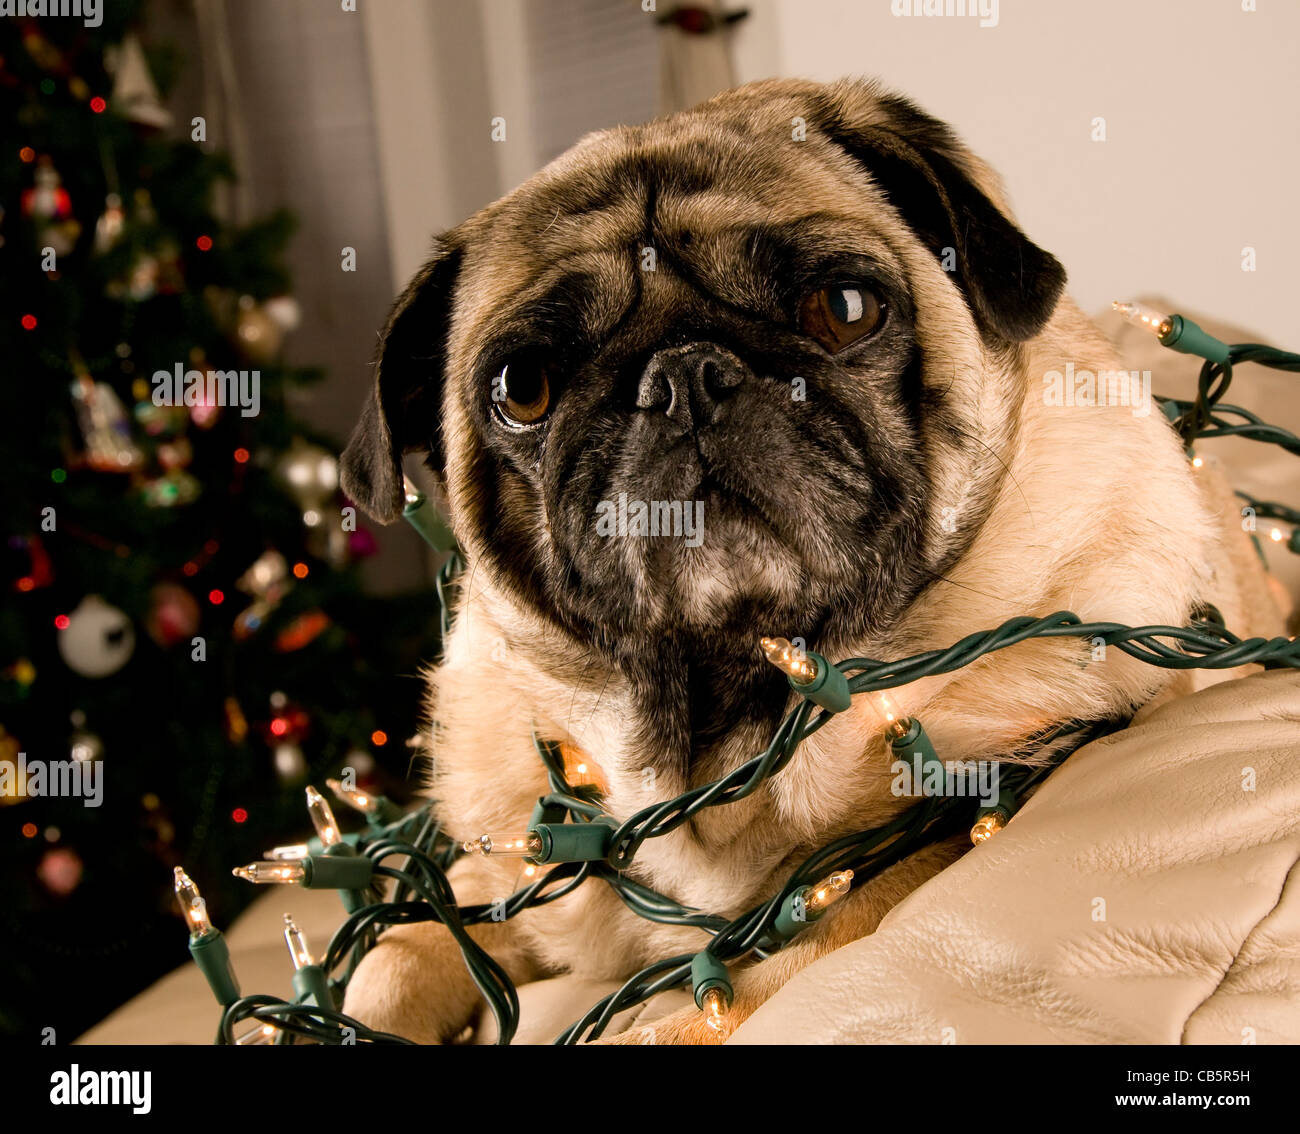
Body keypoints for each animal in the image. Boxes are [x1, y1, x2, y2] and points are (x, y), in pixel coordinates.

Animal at [332, 75, 1279, 1040]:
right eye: (523, 388)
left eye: (846, 308)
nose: (682, 377)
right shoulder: (507, 877)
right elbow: (402, 949)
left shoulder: (946, 832)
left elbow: (769, 968)